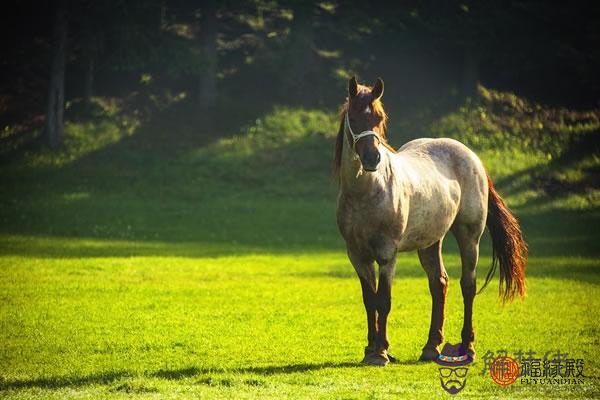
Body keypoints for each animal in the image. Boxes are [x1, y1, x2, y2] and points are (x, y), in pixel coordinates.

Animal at [336, 76, 528, 368]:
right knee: (439, 284)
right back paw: (430, 347)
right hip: (429, 242)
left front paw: (380, 353)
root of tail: (472, 157)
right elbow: (370, 301)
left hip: (469, 236)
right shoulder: (357, 255)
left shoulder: (387, 255)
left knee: (468, 285)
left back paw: (467, 348)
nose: (372, 159)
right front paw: (371, 350)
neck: (366, 193)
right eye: (355, 117)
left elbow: (384, 301)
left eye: (380, 118)